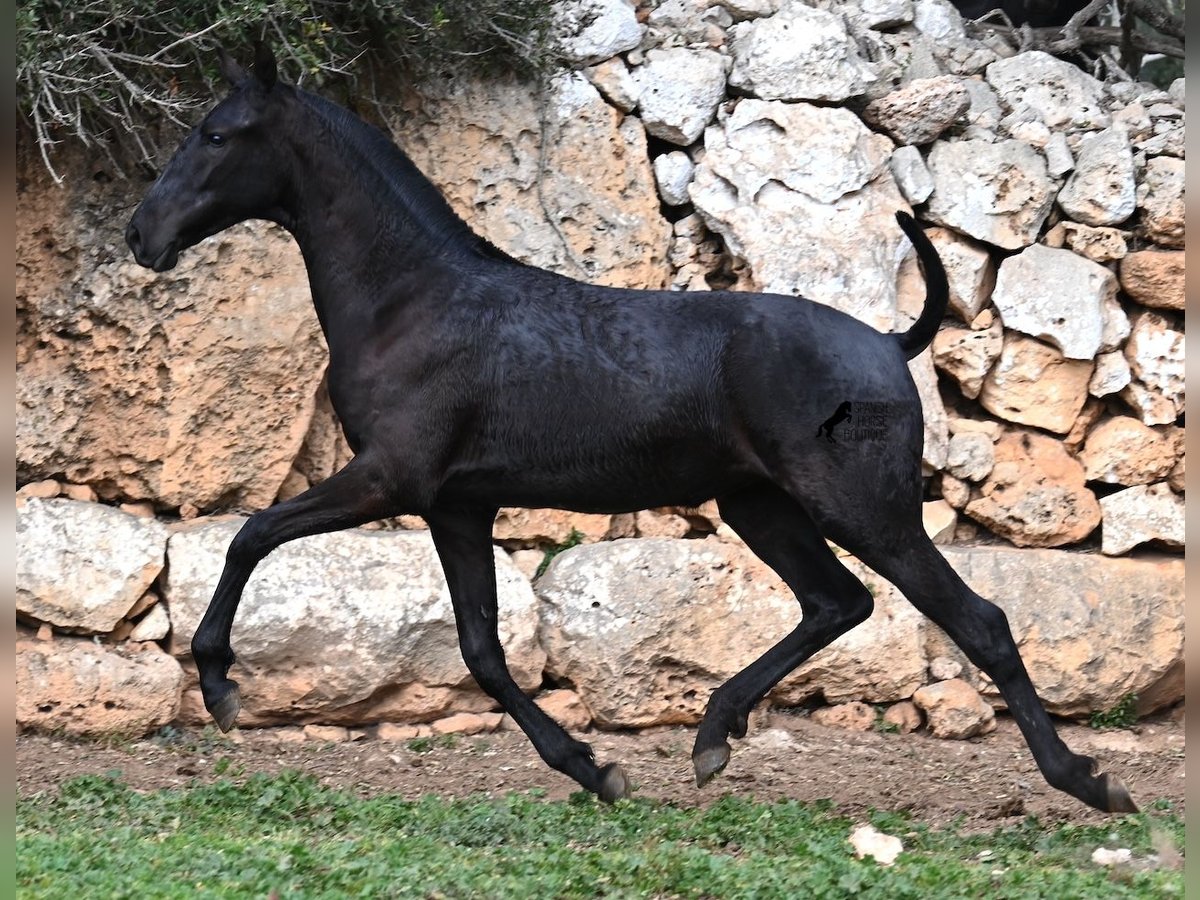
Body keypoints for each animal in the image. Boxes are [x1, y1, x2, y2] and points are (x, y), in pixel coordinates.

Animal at [129, 44, 1132, 816]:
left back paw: (1088, 782)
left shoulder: (391, 479)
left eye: (215, 134)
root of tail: (889, 342)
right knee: (836, 604)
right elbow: (484, 653)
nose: (143, 234)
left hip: (862, 509)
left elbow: (252, 534)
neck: (411, 299)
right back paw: (712, 737)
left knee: (976, 620)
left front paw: (219, 684)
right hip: (761, 507)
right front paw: (594, 770)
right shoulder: (457, 508)